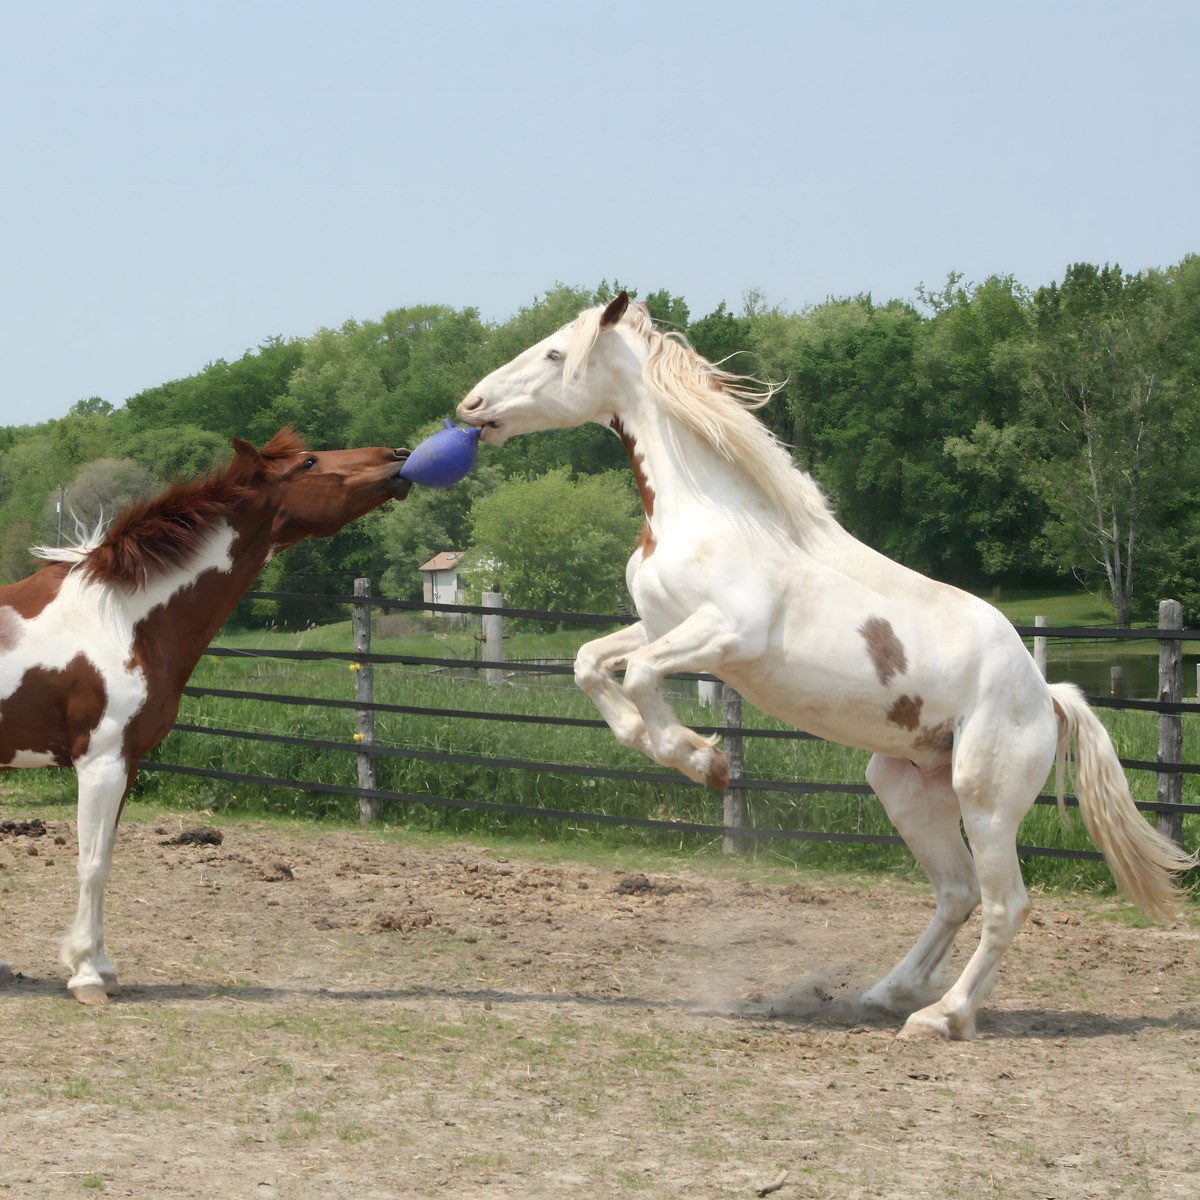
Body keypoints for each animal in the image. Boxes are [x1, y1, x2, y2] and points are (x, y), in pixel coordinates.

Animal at [0, 428, 412, 1004]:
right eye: (309, 463)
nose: (399, 457)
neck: (122, 621)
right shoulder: (100, 762)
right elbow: (93, 864)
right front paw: (85, 976)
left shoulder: (126, 763)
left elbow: (106, 858)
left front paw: (102, 967)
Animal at [457, 291, 1197, 1040]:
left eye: (556, 352)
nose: (471, 404)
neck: (711, 514)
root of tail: (1045, 694)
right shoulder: (664, 625)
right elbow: (590, 663)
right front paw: (679, 749)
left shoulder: (726, 635)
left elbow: (637, 676)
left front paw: (704, 761)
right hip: (906, 788)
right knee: (955, 893)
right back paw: (888, 992)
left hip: (984, 797)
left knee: (1003, 905)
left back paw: (942, 1017)